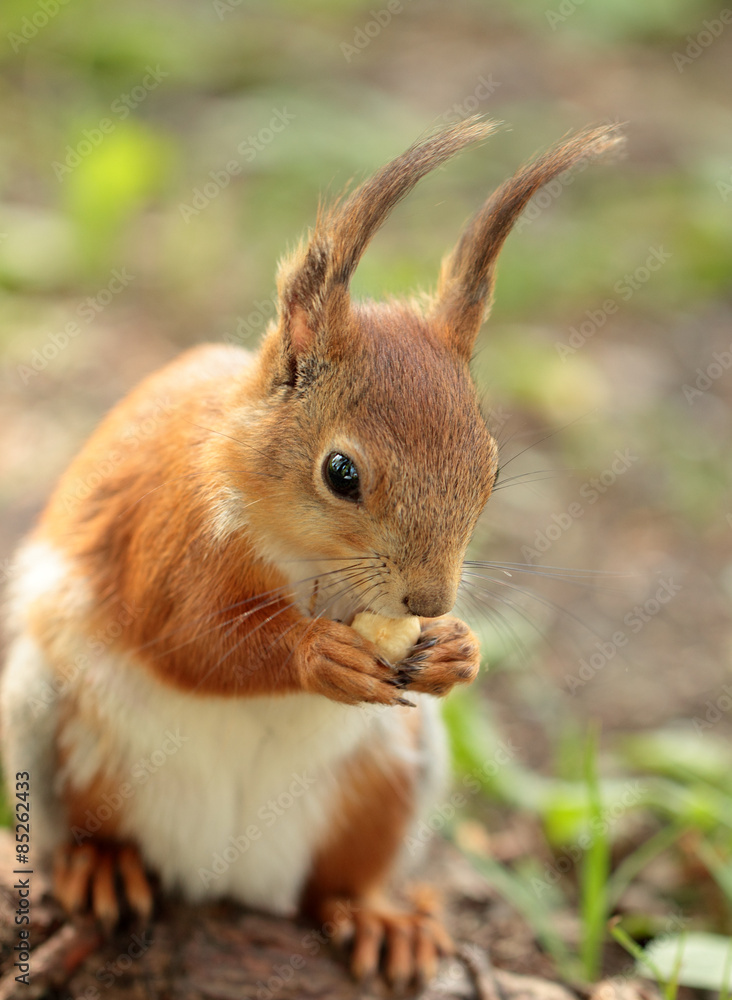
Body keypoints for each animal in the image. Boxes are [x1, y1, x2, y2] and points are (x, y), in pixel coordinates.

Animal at [1, 117, 621, 989]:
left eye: (492, 468)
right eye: (341, 473)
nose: (429, 601)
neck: (304, 556)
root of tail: (220, 873)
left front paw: (457, 649)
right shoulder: (168, 533)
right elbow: (189, 638)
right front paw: (313, 655)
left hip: (387, 777)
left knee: (335, 885)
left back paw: (377, 917)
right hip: (49, 720)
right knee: (85, 825)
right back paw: (102, 866)